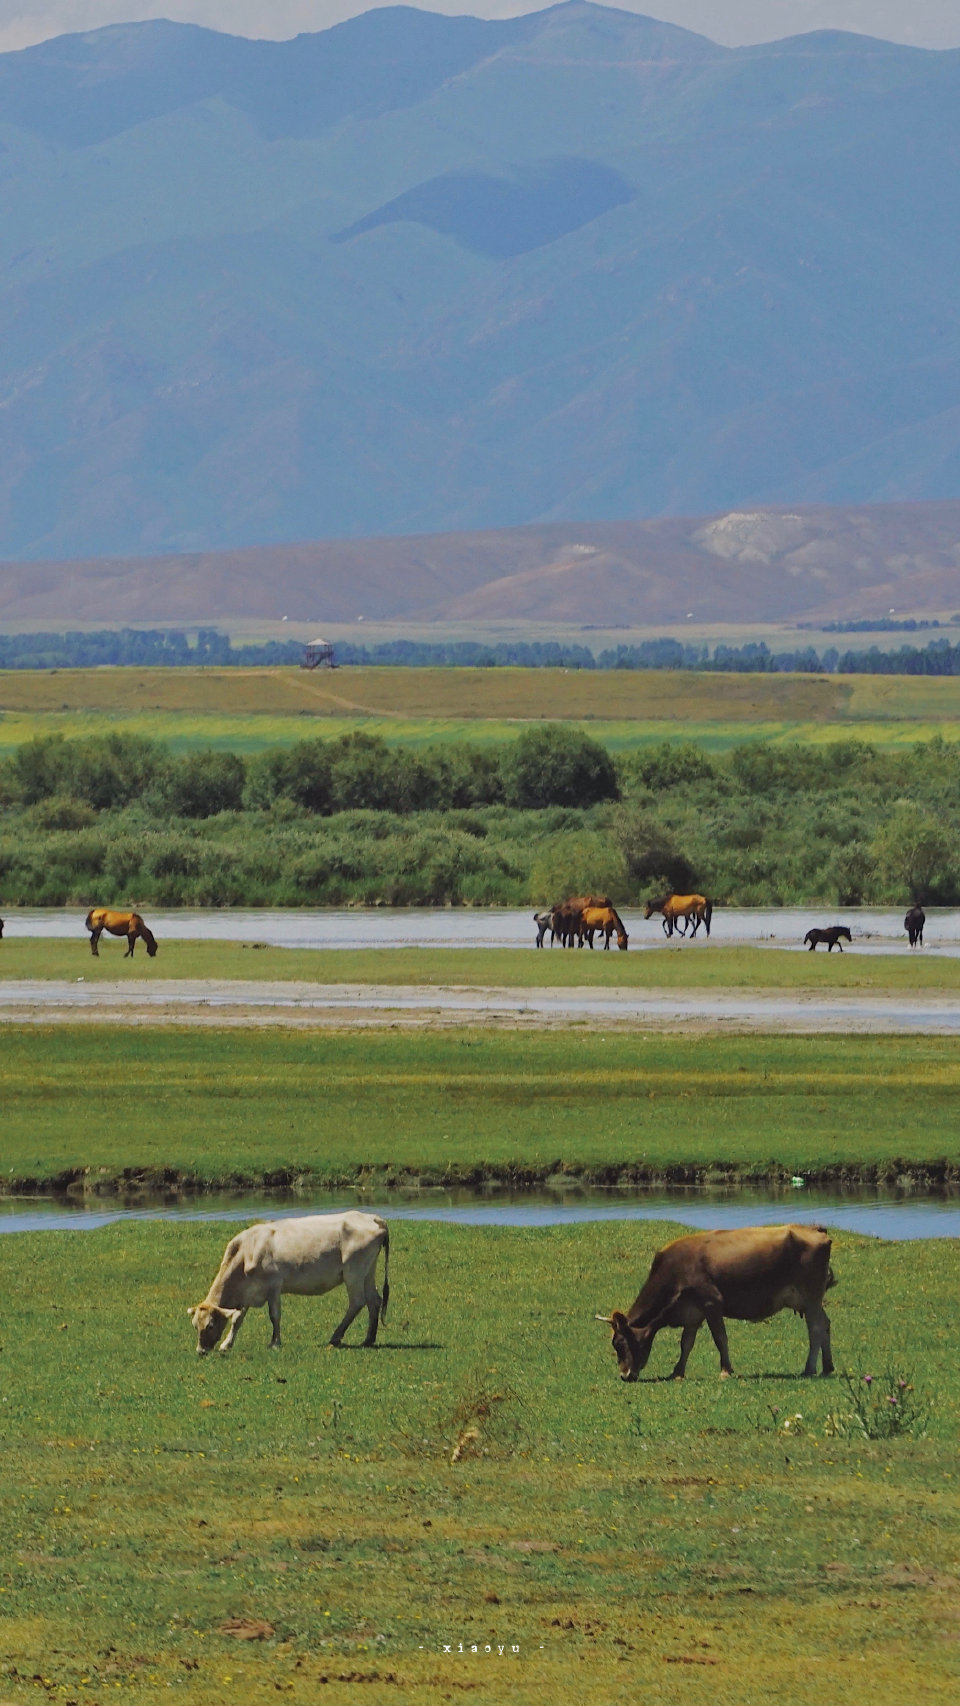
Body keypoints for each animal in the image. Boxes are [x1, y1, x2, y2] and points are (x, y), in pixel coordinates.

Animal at [187, 1214, 390, 1357]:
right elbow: (237, 1319)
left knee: (357, 1302)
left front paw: (275, 1342)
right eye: (195, 1326)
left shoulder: (274, 1286)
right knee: (374, 1300)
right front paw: (226, 1344)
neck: (247, 1252)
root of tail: (371, 1217)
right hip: (367, 1271)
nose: (201, 1351)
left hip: (353, 1272)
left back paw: (336, 1337)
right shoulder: (246, 1293)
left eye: (210, 1325)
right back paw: (368, 1339)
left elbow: (274, 1315)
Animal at [596, 1221, 838, 1378]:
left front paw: (725, 1370)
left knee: (816, 1328)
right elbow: (686, 1343)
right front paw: (677, 1372)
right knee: (825, 1324)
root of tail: (815, 1229)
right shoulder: (692, 1312)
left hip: (811, 1296)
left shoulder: (711, 1302)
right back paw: (827, 1367)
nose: (625, 1375)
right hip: (810, 1300)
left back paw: (809, 1369)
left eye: (618, 1343)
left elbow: (720, 1338)